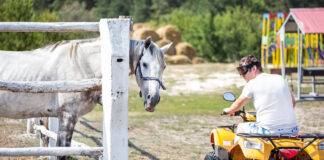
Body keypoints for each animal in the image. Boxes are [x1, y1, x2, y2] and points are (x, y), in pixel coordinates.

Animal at [0, 36, 172, 160]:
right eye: (144, 64)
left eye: (163, 66)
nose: (153, 99)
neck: (81, 65)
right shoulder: (67, 116)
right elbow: (62, 152)